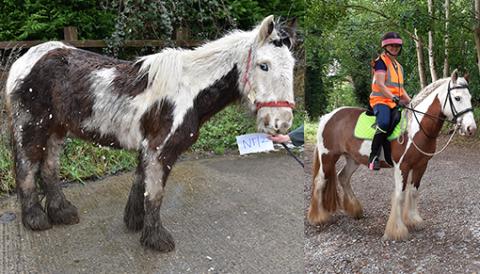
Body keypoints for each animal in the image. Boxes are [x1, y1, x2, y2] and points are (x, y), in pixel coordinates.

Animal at [4, 14, 296, 250]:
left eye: (292, 66)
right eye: (264, 65)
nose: (281, 123)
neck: (189, 90)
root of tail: (26, 59)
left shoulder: (149, 148)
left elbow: (141, 183)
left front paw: (135, 223)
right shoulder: (160, 149)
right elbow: (155, 193)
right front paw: (156, 239)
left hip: (56, 129)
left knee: (49, 167)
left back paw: (62, 212)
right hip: (31, 126)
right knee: (27, 166)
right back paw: (36, 219)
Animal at [308, 70, 476, 240]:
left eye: (470, 98)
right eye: (457, 98)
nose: (471, 128)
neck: (415, 128)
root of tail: (328, 116)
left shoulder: (421, 165)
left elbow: (413, 192)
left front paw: (414, 220)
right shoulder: (402, 166)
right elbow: (400, 195)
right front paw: (397, 230)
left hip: (352, 159)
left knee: (343, 177)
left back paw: (355, 210)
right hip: (328, 157)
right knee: (320, 181)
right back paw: (319, 217)